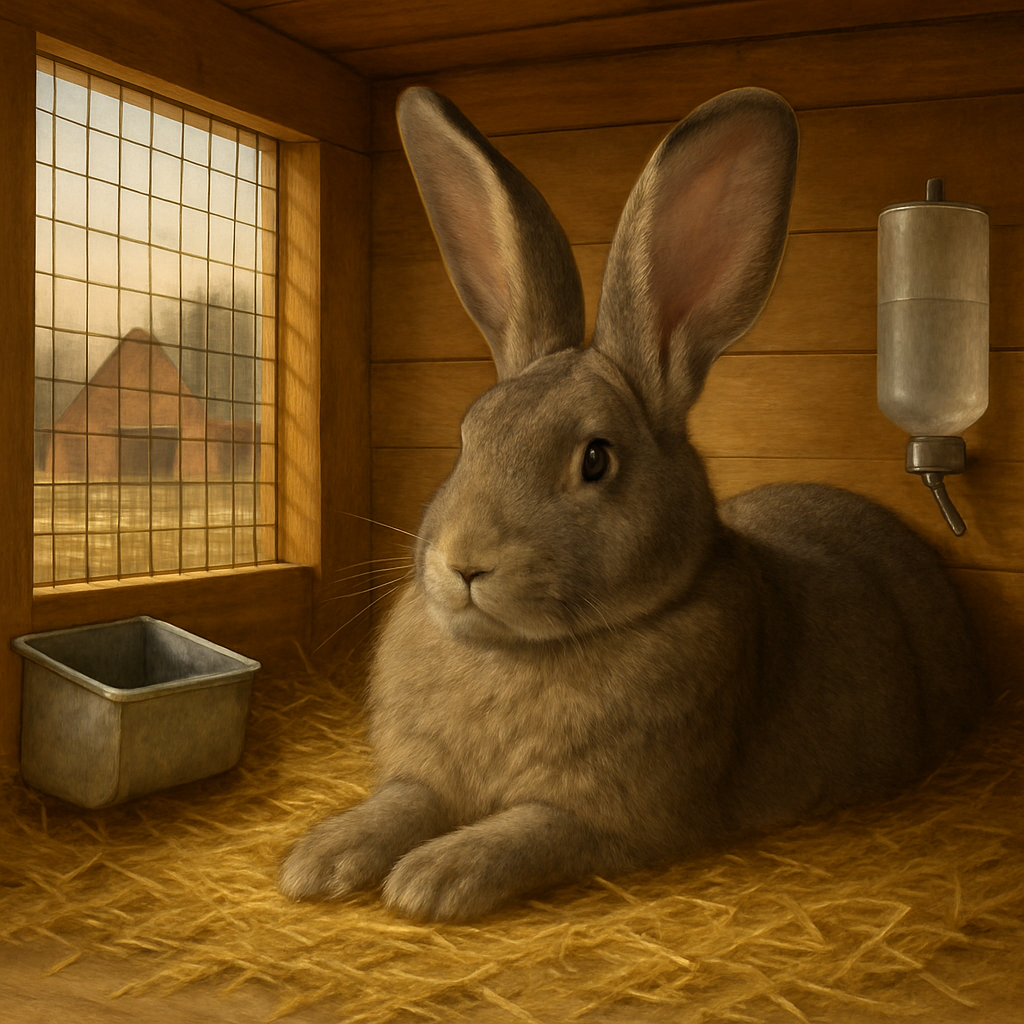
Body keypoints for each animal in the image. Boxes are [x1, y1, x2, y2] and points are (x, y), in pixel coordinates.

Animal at [279, 86, 988, 922]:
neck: (522, 653)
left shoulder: (611, 818)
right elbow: (401, 802)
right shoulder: (424, 779)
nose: (464, 565)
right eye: (467, 436)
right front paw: (320, 858)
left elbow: (528, 830)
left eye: (596, 459)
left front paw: (434, 877)